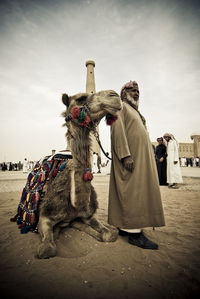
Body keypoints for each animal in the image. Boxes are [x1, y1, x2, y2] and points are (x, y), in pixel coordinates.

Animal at [37, 90, 122, 258]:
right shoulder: (44, 216)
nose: (114, 95)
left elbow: (110, 234)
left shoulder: (87, 214)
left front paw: (100, 232)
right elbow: (47, 249)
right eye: (80, 99)